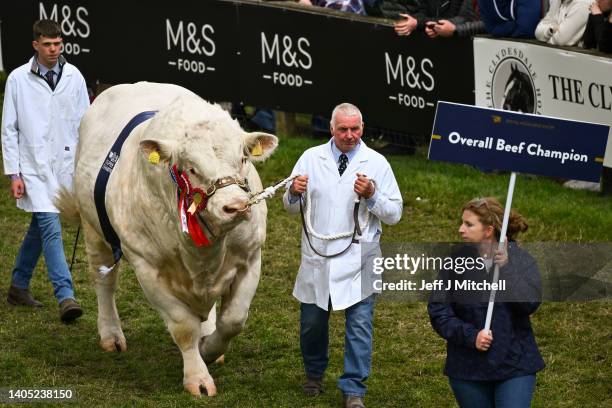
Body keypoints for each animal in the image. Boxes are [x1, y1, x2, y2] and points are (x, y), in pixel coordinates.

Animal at [57, 81, 278, 396]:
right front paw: (198, 377)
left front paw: (210, 348)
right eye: (192, 168)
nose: (236, 206)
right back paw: (111, 334)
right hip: (93, 230)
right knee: (104, 281)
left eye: (243, 159)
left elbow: (233, 319)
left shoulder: (250, 255)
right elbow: (184, 327)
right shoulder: (148, 267)